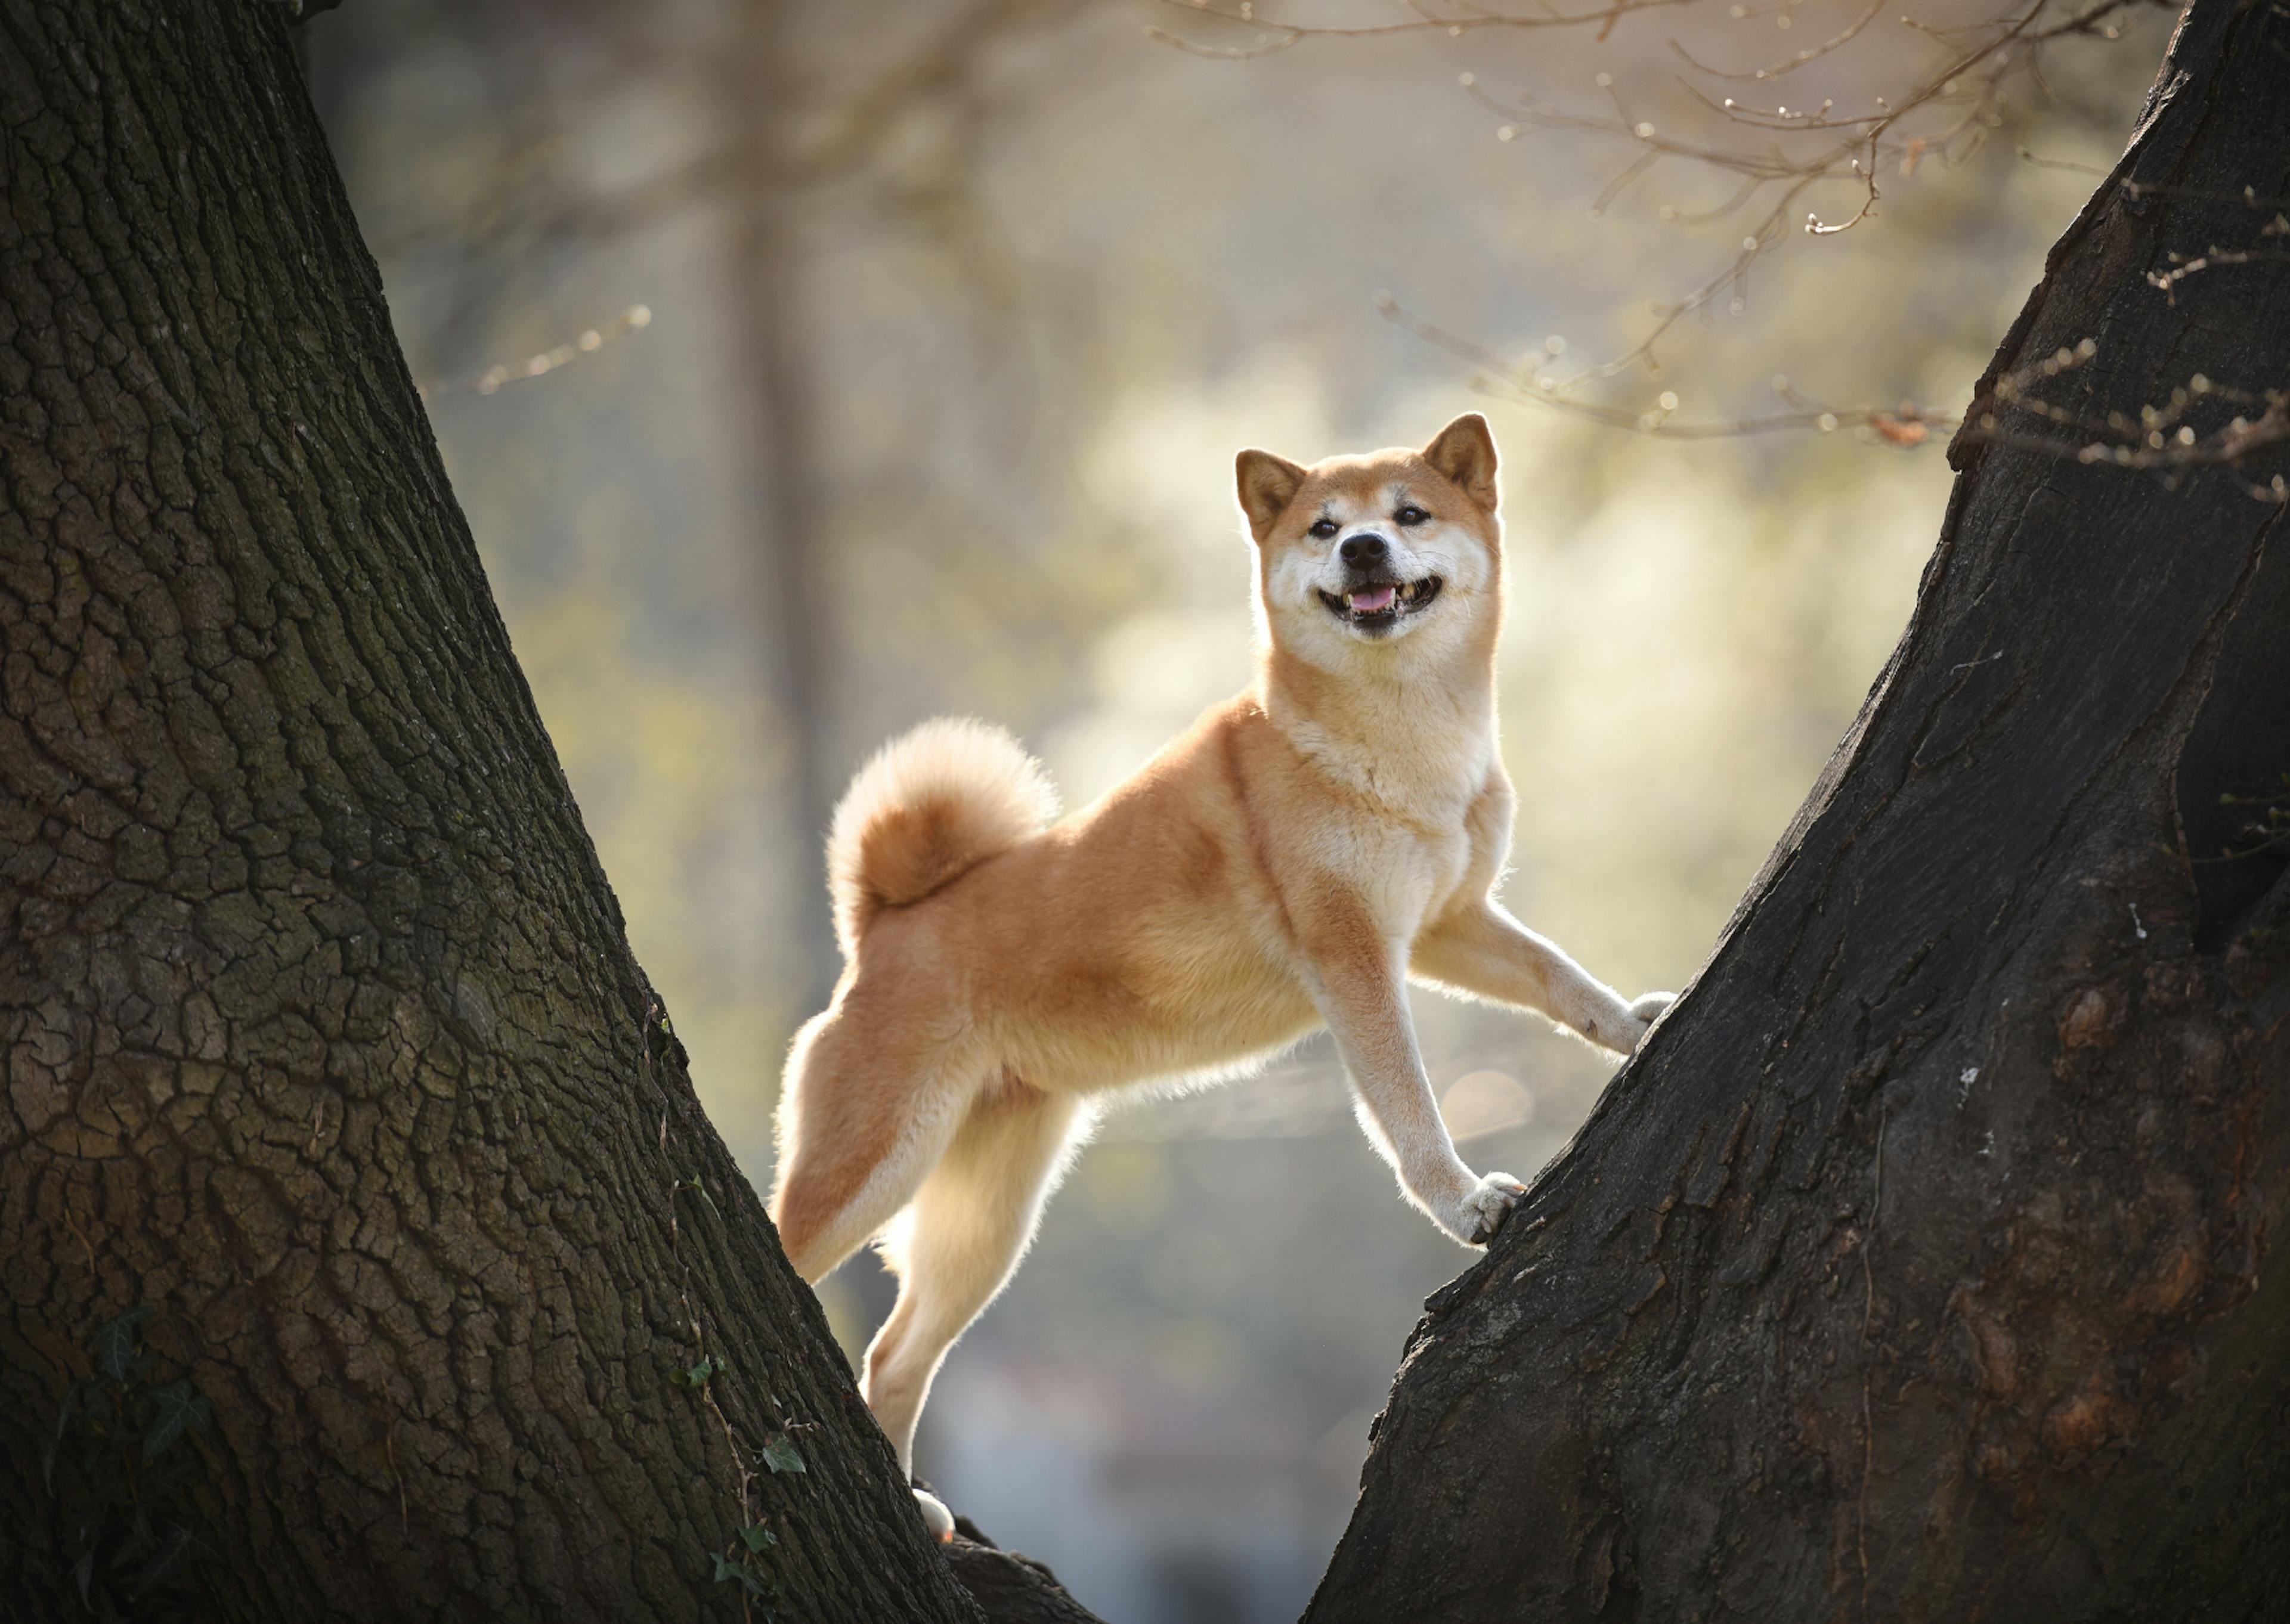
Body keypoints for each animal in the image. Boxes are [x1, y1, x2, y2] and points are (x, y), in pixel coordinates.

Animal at [765, 412, 1667, 1530]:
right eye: (1324, 526)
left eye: (1410, 514)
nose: (1363, 550)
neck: (1400, 740)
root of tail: (882, 924)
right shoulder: (1356, 956)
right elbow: (1409, 1107)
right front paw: (1461, 1203)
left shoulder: (1446, 925)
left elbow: (1559, 979)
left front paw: (1635, 1023)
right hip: (874, 1162)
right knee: (797, 1255)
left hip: (990, 1219)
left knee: (894, 1356)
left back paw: (914, 1515)